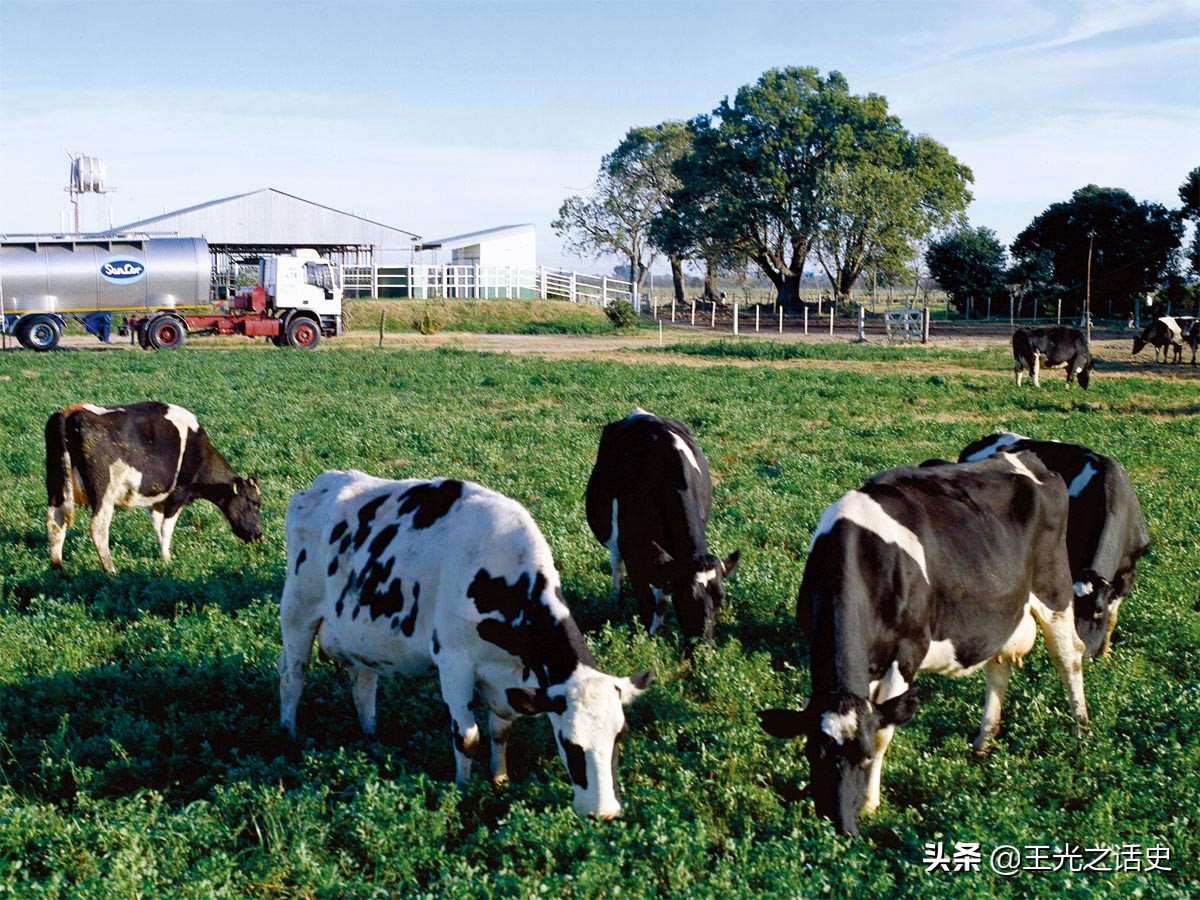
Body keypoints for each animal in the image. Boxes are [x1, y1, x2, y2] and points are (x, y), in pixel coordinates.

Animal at [46, 400, 265, 571]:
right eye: (254, 503)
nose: (259, 535)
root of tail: (70, 413)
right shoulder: (179, 493)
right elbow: (166, 528)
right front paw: (168, 560)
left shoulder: (157, 498)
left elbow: (158, 527)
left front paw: (162, 557)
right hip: (104, 493)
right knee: (99, 528)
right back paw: (111, 570)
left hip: (56, 487)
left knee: (55, 523)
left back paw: (58, 569)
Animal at [278, 475, 657, 820]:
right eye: (569, 743)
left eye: (620, 735)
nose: (603, 812)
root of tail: (320, 484)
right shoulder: (454, 663)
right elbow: (468, 735)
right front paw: (462, 788)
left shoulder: (508, 678)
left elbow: (500, 731)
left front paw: (500, 780)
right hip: (297, 615)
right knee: (293, 678)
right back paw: (289, 738)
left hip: (362, 637)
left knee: (363, 687)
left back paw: (371, 739)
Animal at [583, 408, 739, 643]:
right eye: (688, 597)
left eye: (720, 597)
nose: (704, 646)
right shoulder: (632, 554)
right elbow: (646, 602)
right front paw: (648, 638)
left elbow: (662, 598)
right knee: (616, 565)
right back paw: (614, 599)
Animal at [758, 458, 1089, 840]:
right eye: (813, 754)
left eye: (865, 756)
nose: (841, 826)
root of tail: (1025, 458)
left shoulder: (907, 653)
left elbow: (884, 730)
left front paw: (870, 803)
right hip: (1002, 610)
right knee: (998, 669)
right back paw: (983, 742)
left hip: (1054, 590)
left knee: (1069, 658)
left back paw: (1081, 732)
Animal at [955, 429, 1152, 657]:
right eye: (1074, 608)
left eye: (1098, 610)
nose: (1084, 651)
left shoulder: (1128, 572)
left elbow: (1112, 618)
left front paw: (1105, 653)